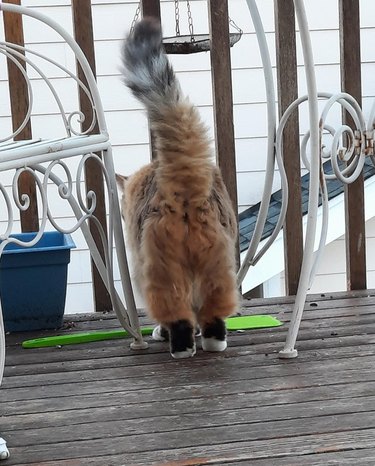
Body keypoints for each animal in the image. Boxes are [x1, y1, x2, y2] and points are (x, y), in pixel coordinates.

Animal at [117, 18, 238, 358]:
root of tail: (185, 185)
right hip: (218, 267)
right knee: (214, 312)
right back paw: (212, 342)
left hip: (161, 271)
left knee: (177, 312)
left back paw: (181, 346)